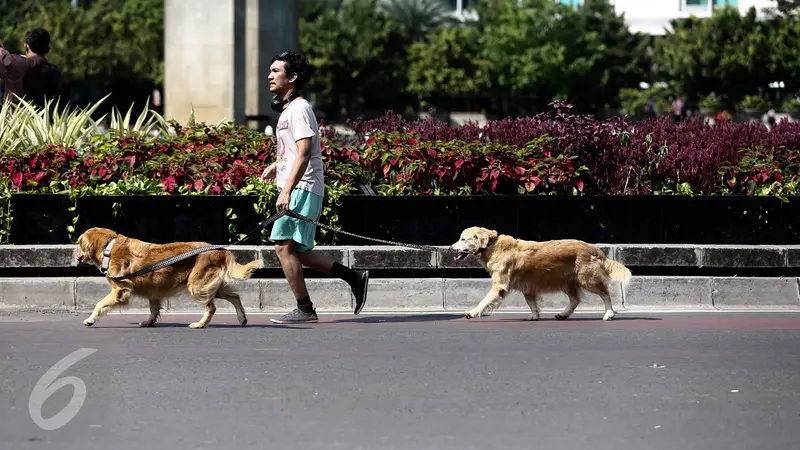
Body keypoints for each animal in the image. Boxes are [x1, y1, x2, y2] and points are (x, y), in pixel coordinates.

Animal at [76, 229, 262, 326]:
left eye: (79, 244)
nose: (76, 255)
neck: (108, 248)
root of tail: (221, 250)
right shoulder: (153, 291)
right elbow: (153, 309)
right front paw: (149, 322)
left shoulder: (121, 290)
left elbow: (99, 304)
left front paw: (90, 319)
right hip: (211, 286)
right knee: (235, 296)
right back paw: (242, 318)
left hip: (197, 286)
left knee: (211, 307)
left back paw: (200, 324)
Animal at [450, 229, 632, 320]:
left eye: (463, 239)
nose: (451, 248)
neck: (491, 245)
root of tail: (594, 249)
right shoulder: (527, 285)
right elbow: (531, 302)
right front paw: (535, 315)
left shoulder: (500, 285)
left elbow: (485, 300)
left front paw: (472, 312)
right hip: (567, 281)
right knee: (575, 300)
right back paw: (563, 314)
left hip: (587, 279)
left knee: (606, 294)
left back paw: (609, 313)